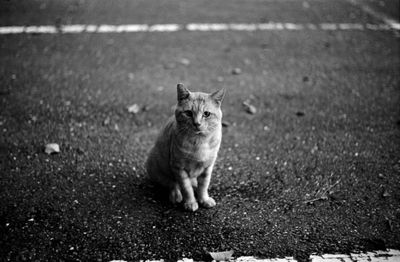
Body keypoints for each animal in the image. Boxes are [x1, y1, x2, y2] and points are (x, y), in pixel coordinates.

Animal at [145, 84, 225, 213]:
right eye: (188, 113)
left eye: (206, 114)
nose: (197, 123)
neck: (199, 141)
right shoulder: (179, 168)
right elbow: (186, 188)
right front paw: (190, 202)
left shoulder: (207, 167)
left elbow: (203, 186)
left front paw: (204, 199)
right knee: (172, 183)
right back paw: (176, 195)